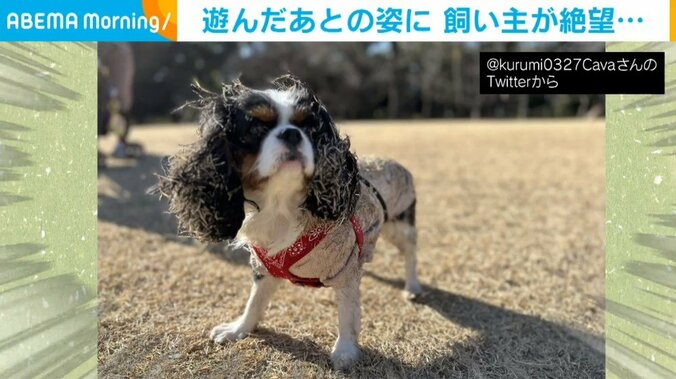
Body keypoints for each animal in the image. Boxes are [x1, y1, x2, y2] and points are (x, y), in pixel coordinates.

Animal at [153, 75, 420, 372]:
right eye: (256, 127)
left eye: (308, 127)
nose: (292, 133)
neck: (280, 204)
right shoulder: (265, 267)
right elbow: (254, 302)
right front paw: (238, 329)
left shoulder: (345, 270)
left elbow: (347, 314)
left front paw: (345, 352)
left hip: (398, 225)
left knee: (411, 252)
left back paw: (412, 287)